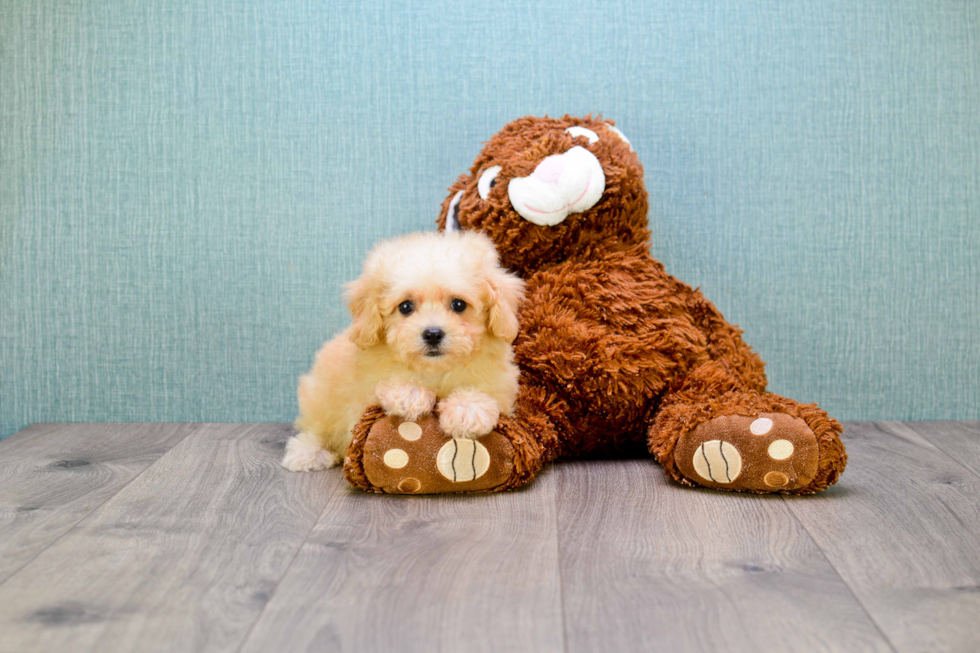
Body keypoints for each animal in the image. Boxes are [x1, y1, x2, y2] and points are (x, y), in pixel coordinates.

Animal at [280, 232, 524, 472]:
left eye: (459, 304)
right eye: (405, 307)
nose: (433, 334)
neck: (435, 370)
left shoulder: (500, 384)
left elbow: (483, 391)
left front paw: (466, 410)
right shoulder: (361, 394)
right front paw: (411, 394)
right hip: (319, 394)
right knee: (316, 428)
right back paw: (307, 452)